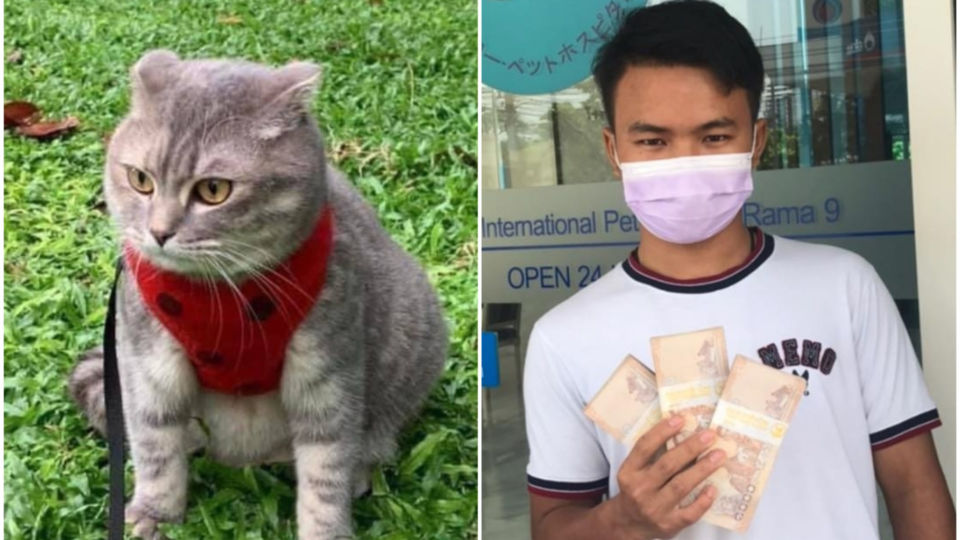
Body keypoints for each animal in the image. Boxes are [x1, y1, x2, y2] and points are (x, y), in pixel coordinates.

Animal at [67, 48, 450, 536]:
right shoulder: (147, 366)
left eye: (214, 190)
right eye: (140, 180)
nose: (158, 233)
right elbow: (155, 447)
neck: (221, 296)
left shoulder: (327, 373)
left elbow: (326, 469)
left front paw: (326, 529)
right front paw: (155, 512)